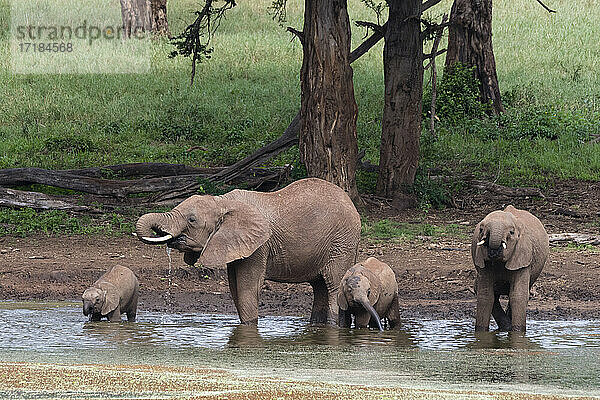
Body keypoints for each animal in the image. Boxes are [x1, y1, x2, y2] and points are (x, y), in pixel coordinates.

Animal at [136, 178, 360, 324]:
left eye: (191, 220)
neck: (223, 201)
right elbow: (235, 288)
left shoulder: (259, 246)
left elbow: (247, 287)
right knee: (320, 287)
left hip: (342, 243)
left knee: (333, 285)